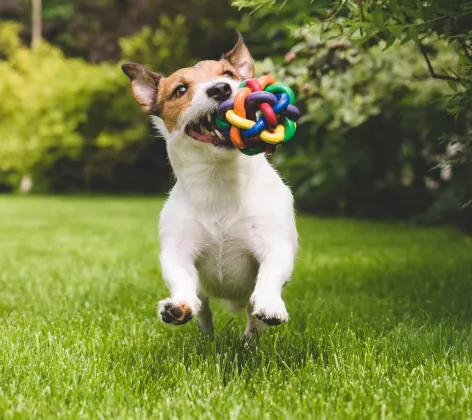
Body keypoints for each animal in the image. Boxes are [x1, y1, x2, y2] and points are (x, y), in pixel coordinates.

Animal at [122, 31, 298, 336]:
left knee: (252, 318)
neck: (219, 180)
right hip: (203, 296)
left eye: (228, 74)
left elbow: (271, 274)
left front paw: (270, 304)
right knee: (203, 308)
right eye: (180, 90)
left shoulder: (274, 244)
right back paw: (205, 334)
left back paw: (249, 339)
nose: (220, 89)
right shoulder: (178, 252)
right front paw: (178, 306)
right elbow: (181, 278)